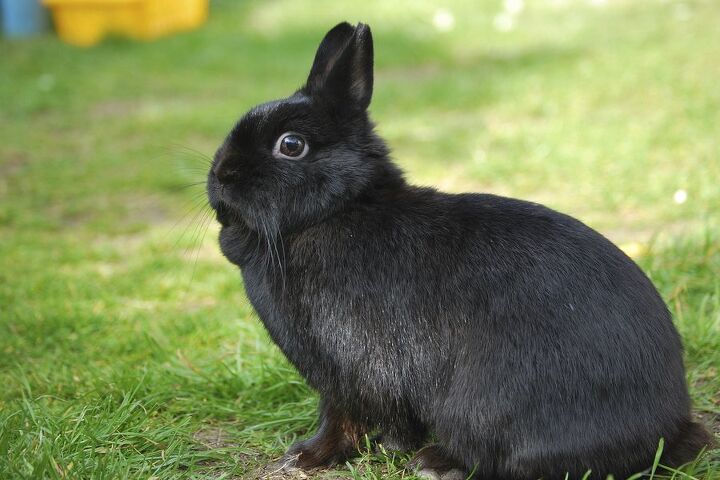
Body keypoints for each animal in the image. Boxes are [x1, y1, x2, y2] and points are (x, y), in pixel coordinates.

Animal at [206, 22, 713, 479]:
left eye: (290, 145)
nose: (221, 176)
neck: (337, 211)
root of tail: (665, 432)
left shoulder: (355, 365)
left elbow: (363, 416)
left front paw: (349, 452)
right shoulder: (337, 377)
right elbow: (343, 421)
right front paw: (307, 456)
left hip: (482, 406)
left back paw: (437, 463)